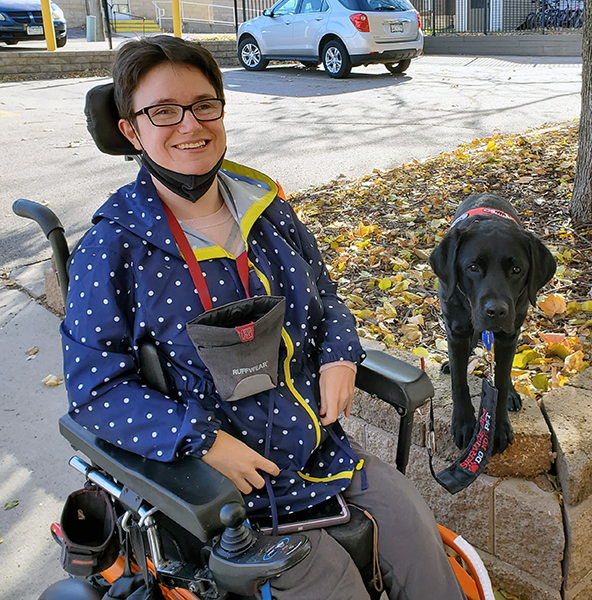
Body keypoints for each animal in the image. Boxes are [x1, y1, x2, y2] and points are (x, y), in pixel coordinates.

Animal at [430, 195, 556, 452]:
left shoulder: (509, 334)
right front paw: (463, 423)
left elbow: (500, 377)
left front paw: (499, 427)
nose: (496, 311)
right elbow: (459, 381)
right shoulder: (456, 331)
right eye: (473, 267)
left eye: (517, 269)